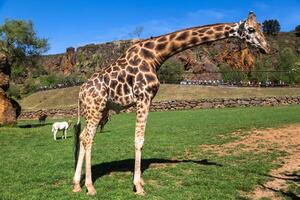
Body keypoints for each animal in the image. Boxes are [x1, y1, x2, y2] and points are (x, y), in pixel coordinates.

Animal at [72, 11, 270, 196]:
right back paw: (90, 186)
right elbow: (139, 140)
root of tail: (80, 92)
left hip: (99, 110)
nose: (266, 48)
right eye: (251, 29)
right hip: (95, 108)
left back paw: (76, 184)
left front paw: (140, 181)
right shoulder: (143, 97)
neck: (155, 55)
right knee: (88, 138)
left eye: (260, 27)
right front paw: (138, 186)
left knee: (82, 136)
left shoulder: (147, 99)